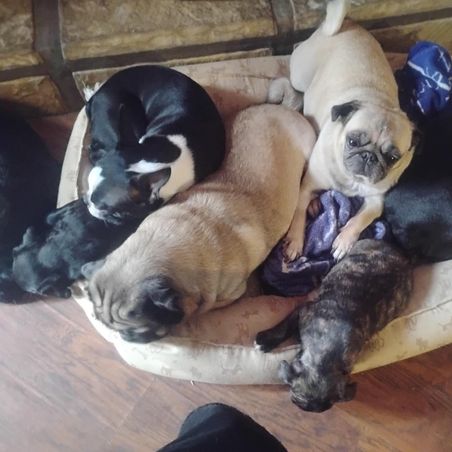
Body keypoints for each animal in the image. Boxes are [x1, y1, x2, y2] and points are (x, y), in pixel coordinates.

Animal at [269, 0, 414, 262]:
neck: (351, 180)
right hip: (299, 76)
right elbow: (298, 210)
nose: (368, 157)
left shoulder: (376, 200)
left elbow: (362, 218)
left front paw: (345, 241)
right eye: (353, 141)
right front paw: (295, 241)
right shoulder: (307, 186)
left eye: (393, 158)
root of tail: (345, 25)